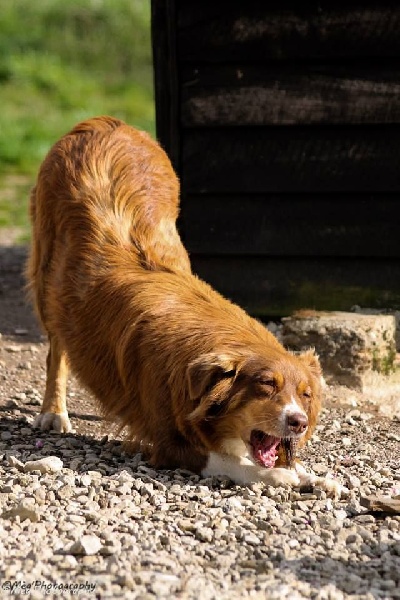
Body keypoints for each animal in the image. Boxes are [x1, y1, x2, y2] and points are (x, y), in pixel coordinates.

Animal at [27, 116, 340, 492]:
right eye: (267, 385)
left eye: (306, 395)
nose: (298, 422)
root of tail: (103, 123)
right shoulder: (169, 440)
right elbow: (231, 462)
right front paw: (278, 474)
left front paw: (314, 475)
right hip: (48, 280)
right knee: (57, 349)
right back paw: (53, 411)